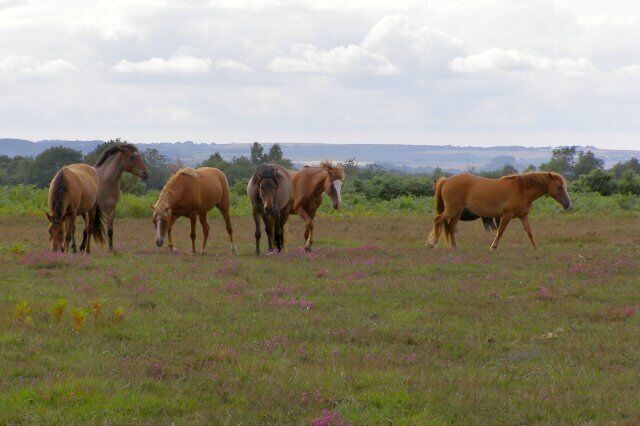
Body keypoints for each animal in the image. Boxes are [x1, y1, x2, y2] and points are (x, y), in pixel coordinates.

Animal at [427, 172, 571, 250]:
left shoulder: (523, 216)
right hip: (452, 210)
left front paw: (535, 247)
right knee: (438, 220)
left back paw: (454, 247)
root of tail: (447, 181)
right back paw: (432, 243)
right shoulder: (506, 216)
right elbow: (500, 231)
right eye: (559, 187)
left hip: (456, 212)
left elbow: (529, 232)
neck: (521, 189)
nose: (568, 204)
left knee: (450, 227)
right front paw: (493, 247)